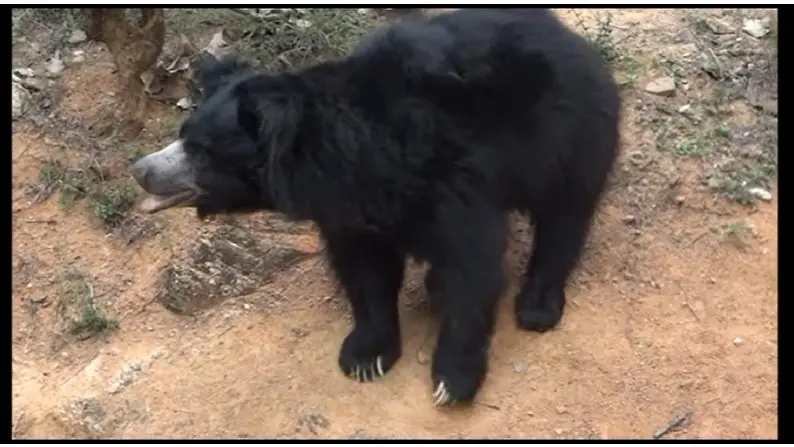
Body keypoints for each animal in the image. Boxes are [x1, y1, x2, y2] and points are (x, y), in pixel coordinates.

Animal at [130, 8, 620, 407]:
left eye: (201, 152)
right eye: (182, 133)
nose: (141, 171)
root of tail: (570, 37)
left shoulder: (452, 179)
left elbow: (472, 262)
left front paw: (452, 382)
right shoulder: (349, 214)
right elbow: (365, 272)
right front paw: (366, 356)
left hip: (567, 134)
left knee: (565, 216)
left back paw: (537, 305)